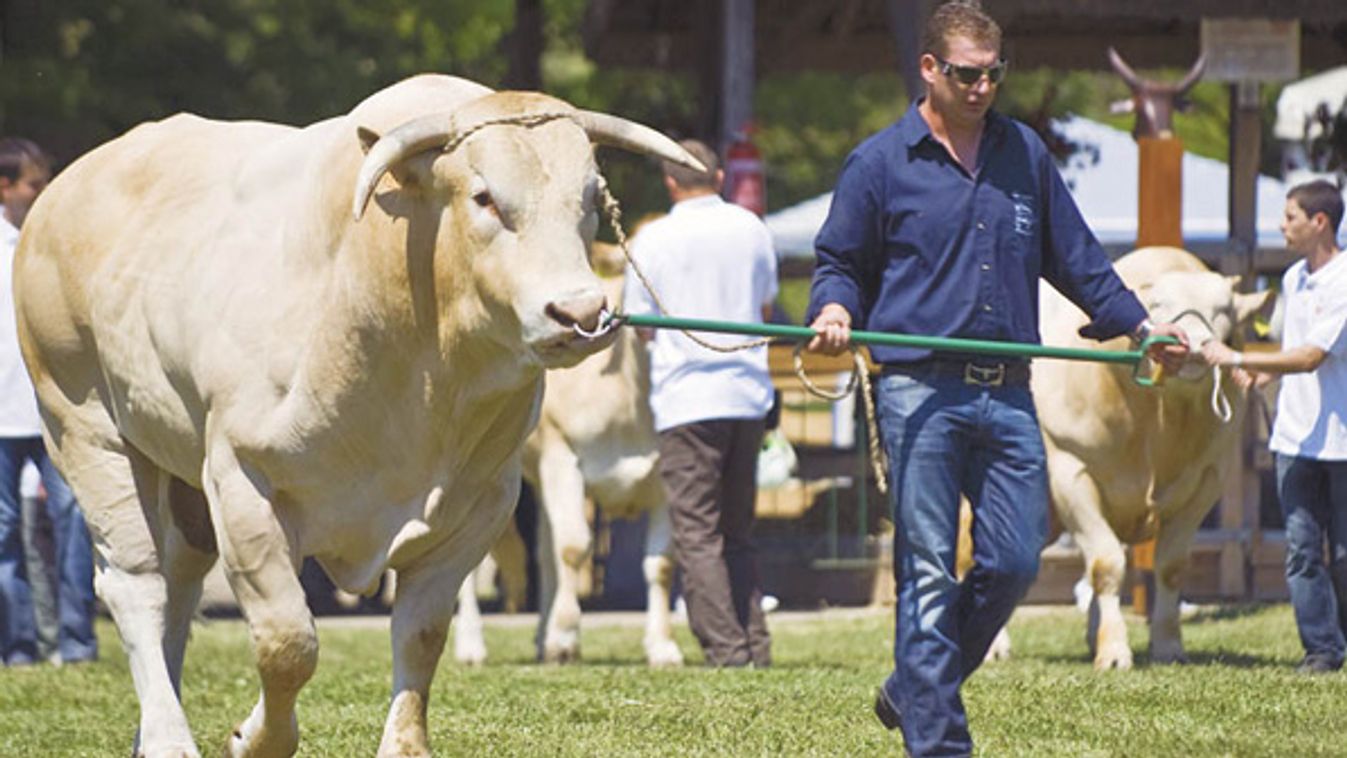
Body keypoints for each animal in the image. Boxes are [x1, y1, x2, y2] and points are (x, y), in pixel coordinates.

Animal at [15, 72, 700, 758]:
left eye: (589, 198)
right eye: (484, 197)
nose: (580, 312)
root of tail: (61, 193)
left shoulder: (480, 503)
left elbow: (422, 634)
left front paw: (404, 744)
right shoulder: (242, 484)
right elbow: (288, 641)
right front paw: (254, 739)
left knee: (182, 580)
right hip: (84, 428)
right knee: (137, 584)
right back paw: (166, 735)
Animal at [1029, 247, 1271, 670]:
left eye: (1224, 309)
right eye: (1158, 306)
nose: (1195, 346)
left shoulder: (1207, 480)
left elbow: (1170, 567)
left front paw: (1168, 645)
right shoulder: (1071, 473)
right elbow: (1106, 564)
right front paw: (1113, 652)